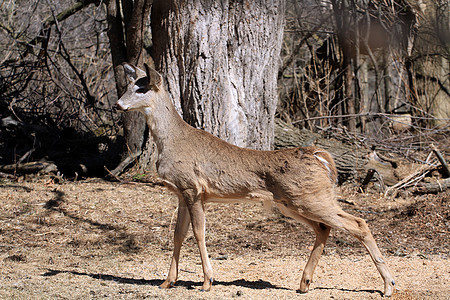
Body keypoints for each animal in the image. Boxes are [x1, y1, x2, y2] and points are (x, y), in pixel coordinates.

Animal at [114, 63, 396, 298]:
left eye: (141, 88)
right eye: (128, 86)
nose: (117, 104)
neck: (171, 141)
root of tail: (320, 155)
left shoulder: (193, 188)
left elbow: (199, 233)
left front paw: (207, 281)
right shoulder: (182, 193)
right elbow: (178, 235)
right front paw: (167, 282)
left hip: (310, 198)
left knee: (358, 223)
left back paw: (388, 285)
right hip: (292, 202)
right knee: (323, 228)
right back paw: (304, 283)